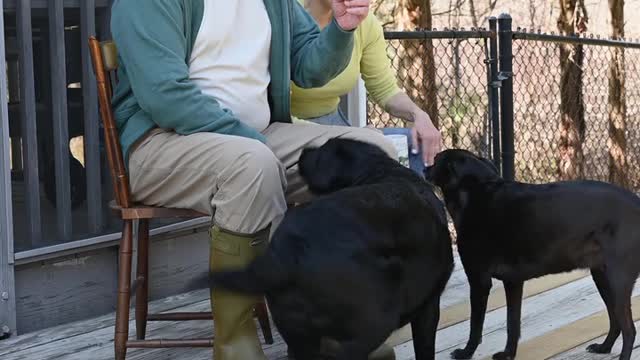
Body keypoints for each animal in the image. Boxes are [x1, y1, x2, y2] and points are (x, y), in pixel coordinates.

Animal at [208, 139, 452, 360]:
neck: (384, 171)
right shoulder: (428, 306)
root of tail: (288, 251)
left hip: (297, 333)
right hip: (375, 320)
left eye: (321, 152)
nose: (305, 151)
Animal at [428, 147, 640, 360]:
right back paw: (604, 347)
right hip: (602, 277)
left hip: (617, 281)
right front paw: (508, 354)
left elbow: (475, 326)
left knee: (629, 329)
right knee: (616, 321)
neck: (477, 193)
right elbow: (512, 324)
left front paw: (466, 352)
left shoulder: (479, 280)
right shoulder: (513, 281)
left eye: (436, 159)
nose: (425, 168)